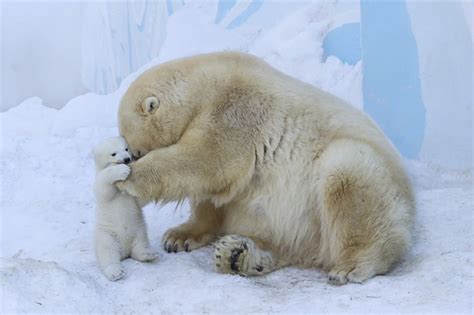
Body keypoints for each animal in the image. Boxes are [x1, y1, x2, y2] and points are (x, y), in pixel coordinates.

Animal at [118, 52, 414, 286]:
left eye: (135, 150)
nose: (129, 158)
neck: (204, 84)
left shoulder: (237, 109)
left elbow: (206, 161)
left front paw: (128, 180)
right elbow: (213, 194)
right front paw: (178, 237)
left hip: (366, 175)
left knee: (348, 178)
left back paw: (352, 265)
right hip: (298, 226)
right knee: (283, 240)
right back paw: (238, 255)